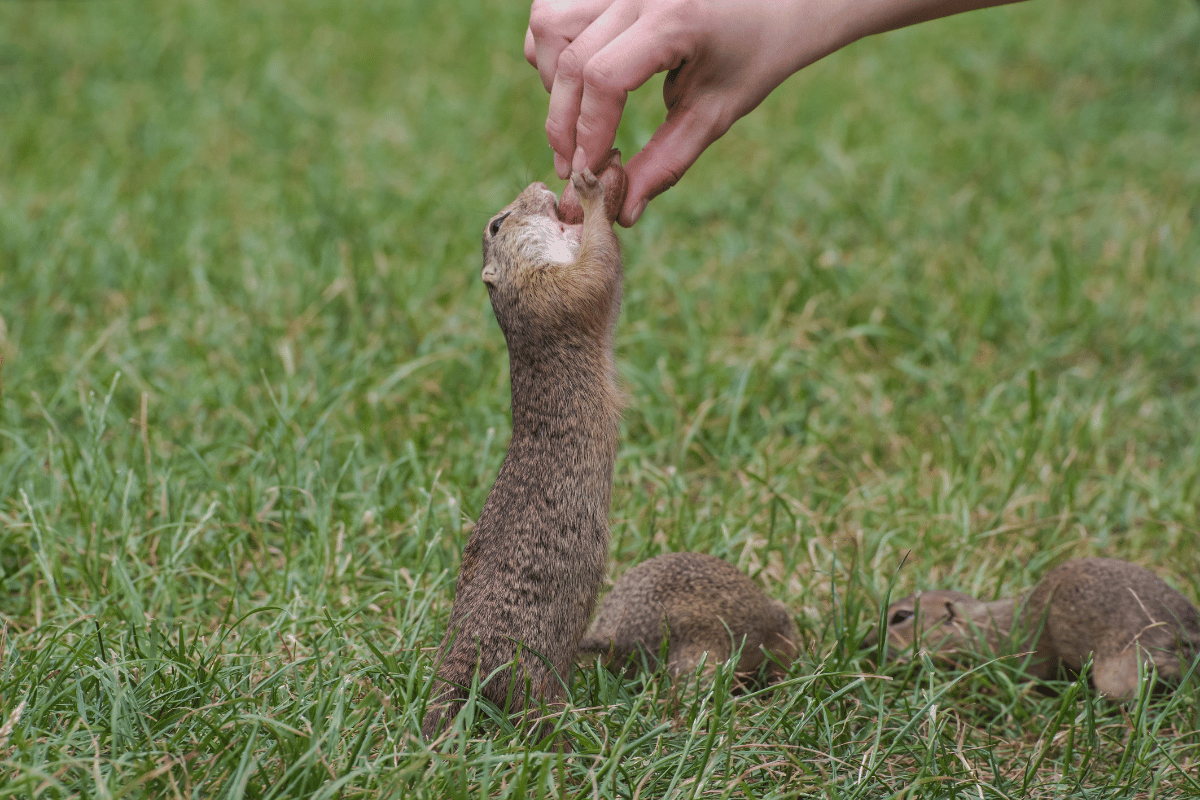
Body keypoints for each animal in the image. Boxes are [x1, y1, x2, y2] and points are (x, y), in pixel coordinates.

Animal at [422, 153, 628, 743]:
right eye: (498, 224)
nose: (541, 183)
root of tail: (458, 663)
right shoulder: (553, 290)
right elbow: (597, 268)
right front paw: (594, 190)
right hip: (532, 670)